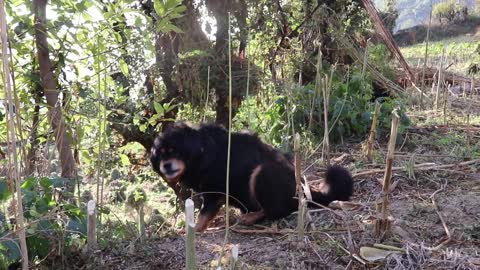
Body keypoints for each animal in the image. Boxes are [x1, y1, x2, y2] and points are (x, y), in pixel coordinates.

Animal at [150, 122, 352, 232]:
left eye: (174, 150)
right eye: (160, 154)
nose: (165, 165)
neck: (202, 151)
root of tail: (302, 188)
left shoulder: (215, 192)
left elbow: (203, 215)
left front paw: (191, 230)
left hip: (262, 173)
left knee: (279, 210)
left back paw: (252, 217)